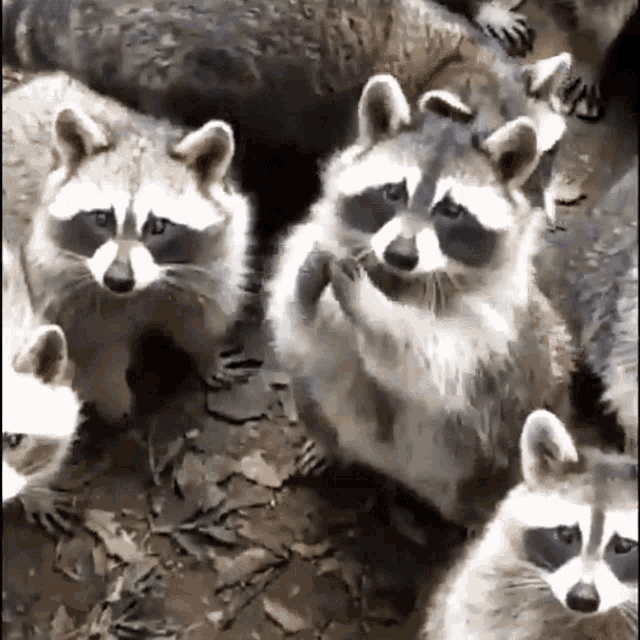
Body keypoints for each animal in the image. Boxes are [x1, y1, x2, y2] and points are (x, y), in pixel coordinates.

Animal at [4, 72, 253, 422]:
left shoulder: (214, 257)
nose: (118, 279)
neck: (142, 292)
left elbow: (201, 318)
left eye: (158, 226)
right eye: (102, 218)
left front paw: (207, 354)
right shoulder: (58, 277)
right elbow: (95, 350)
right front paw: (115, 400)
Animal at [267, 54, 576, 526]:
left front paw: (373, 309)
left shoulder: (493, 328)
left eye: (451, 210)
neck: (403, 281)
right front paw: (307, 290)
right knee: (308, 382)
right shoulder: (318, 244)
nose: (400, 253)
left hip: (506, 441)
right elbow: (307, 334)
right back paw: (328, 446)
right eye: (393, 192)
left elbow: (432, 363)